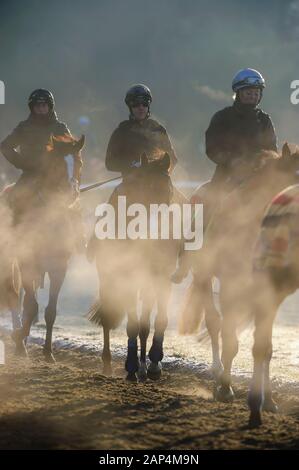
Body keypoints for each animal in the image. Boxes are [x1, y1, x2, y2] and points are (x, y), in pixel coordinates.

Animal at [8, 134, 85, 362]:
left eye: (78, 162)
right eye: (58, 164)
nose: (71, 193)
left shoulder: (59, 268)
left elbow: (50, 311)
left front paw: (48, 352)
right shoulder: (26, 264)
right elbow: (32, 306)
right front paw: (18, 337)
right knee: (14, 298)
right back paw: (20, 343)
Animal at [88, 153, 189, 382]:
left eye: (167, 190)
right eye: (141, 187)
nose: (156, 226)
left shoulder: (162, 277)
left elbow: (157, 320)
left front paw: (153, 363)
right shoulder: (128, 278)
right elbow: (134, 325)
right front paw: (132, 365)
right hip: (108, 279)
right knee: (107, 317)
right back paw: (108, 363)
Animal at [175, 144, 299, 404]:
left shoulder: (268, 293)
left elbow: (265, 347)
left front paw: (267, 399)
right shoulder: (231, 285)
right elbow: (230, 339)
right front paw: (225, 388)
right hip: (203, 277)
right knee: (214, 322)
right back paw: (217, 371)